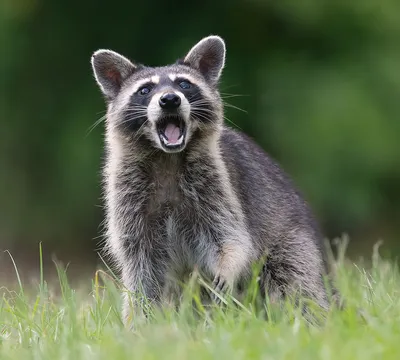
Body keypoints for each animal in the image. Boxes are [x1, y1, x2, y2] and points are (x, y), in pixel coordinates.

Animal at [90, 34, 332, 320]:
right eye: (145, 90)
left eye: (184, 84)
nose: (169, 99)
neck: (167, 158)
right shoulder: (128, 200)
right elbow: (140, 267)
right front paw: (140, 318)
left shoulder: (217, 186)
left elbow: (232, 239)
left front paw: (227, 266)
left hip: (292, 240)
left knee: (296, 283)